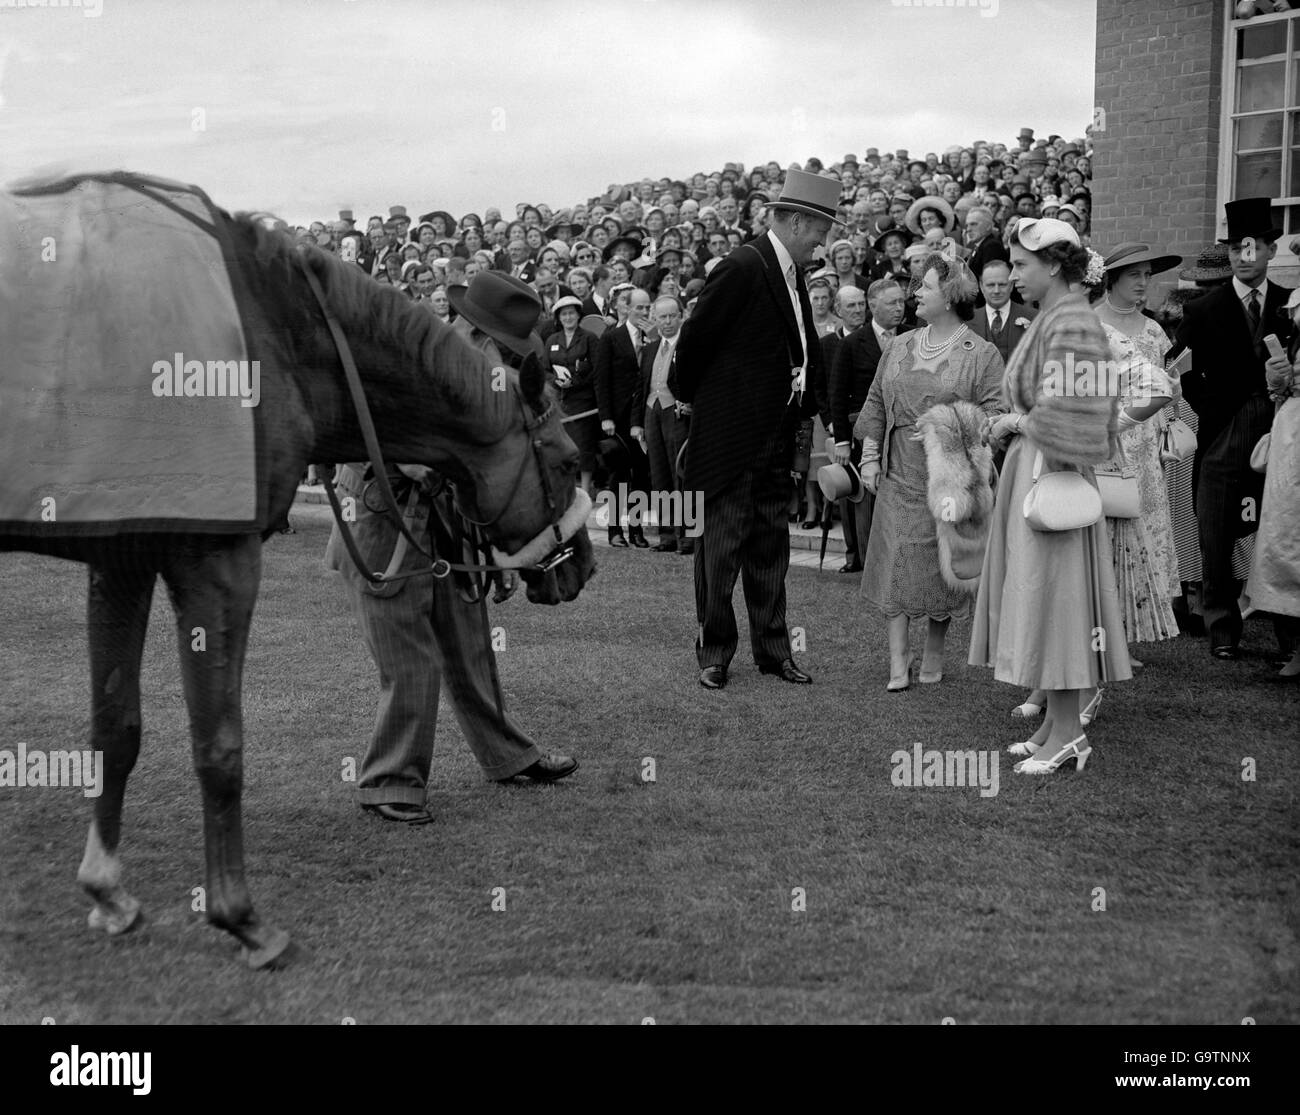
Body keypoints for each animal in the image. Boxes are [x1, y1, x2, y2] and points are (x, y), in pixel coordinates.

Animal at [0, 174, 595, 966]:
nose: (581, 565)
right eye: (566, 459)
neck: (269, 325)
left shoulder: (120, 558)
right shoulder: (216, 557)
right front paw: (242, 917)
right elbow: (220, 744)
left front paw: (108, 891)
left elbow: (115, 727)